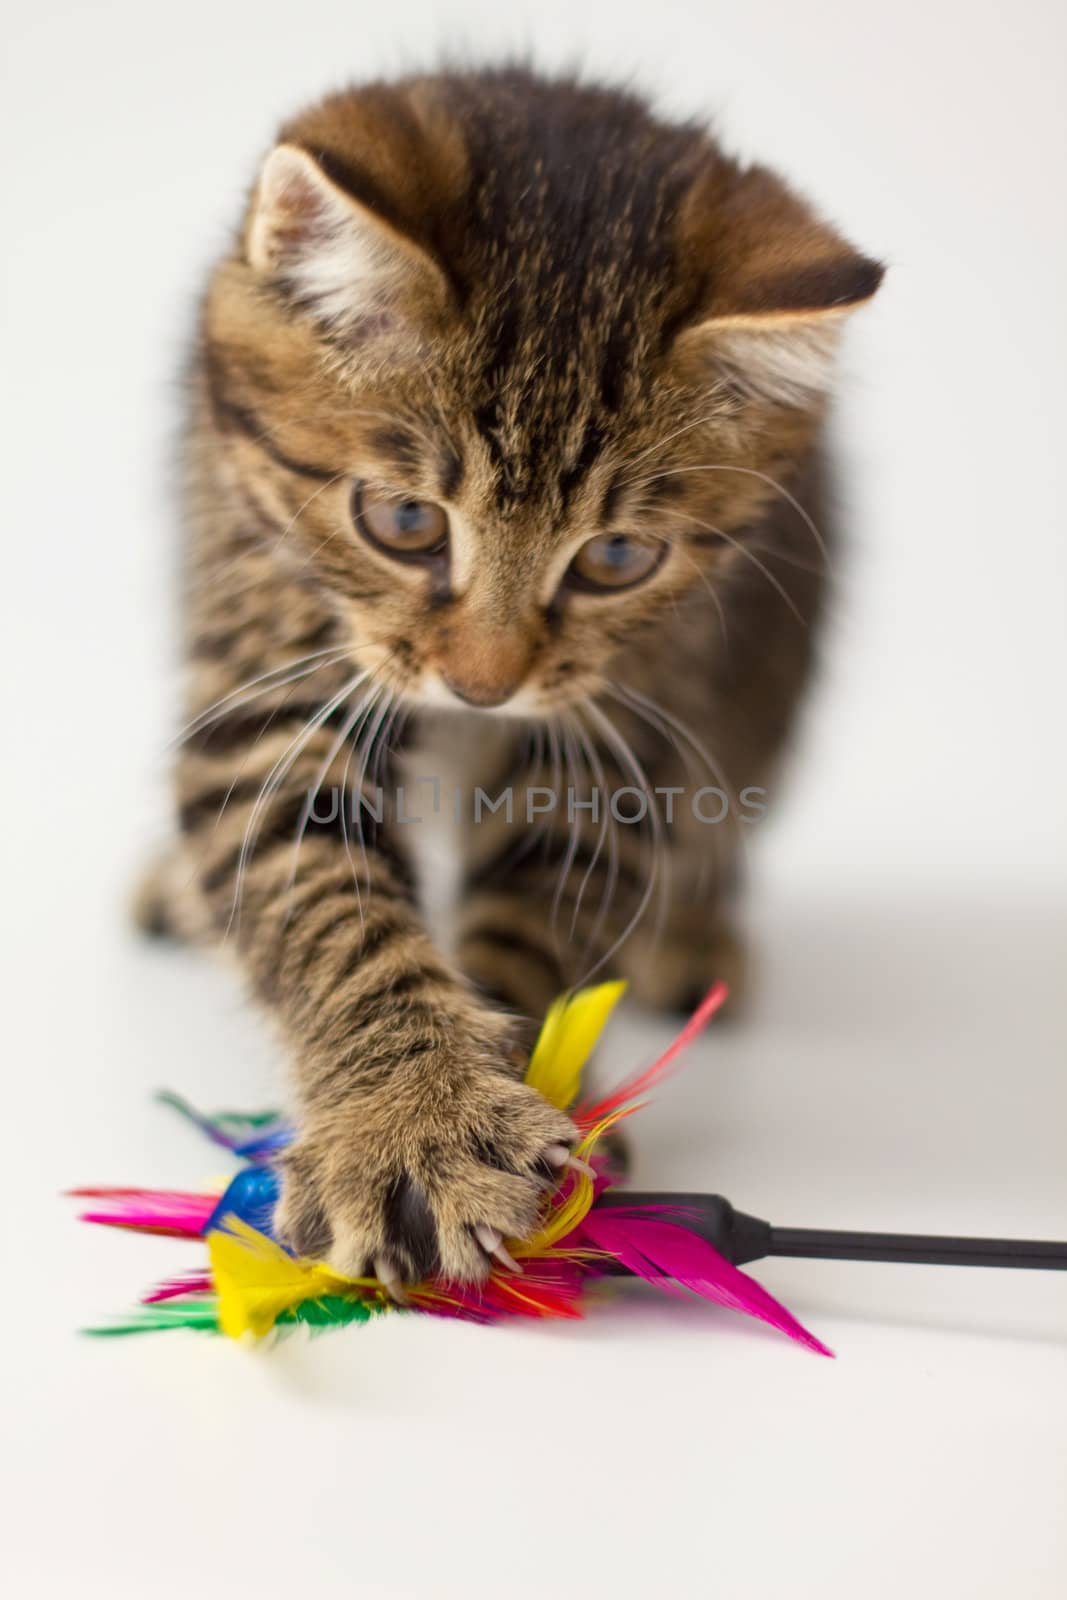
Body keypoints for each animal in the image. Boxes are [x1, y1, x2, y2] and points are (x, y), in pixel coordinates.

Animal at [147, 68, 883, 1292]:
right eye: (402, 523)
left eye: (615, 557)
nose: (481, 685)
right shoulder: (271, 638)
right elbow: (318, 887)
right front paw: (416, 1118)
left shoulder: (631, 709)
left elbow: (553, 891)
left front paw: (524, 1095)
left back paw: (694, 935)